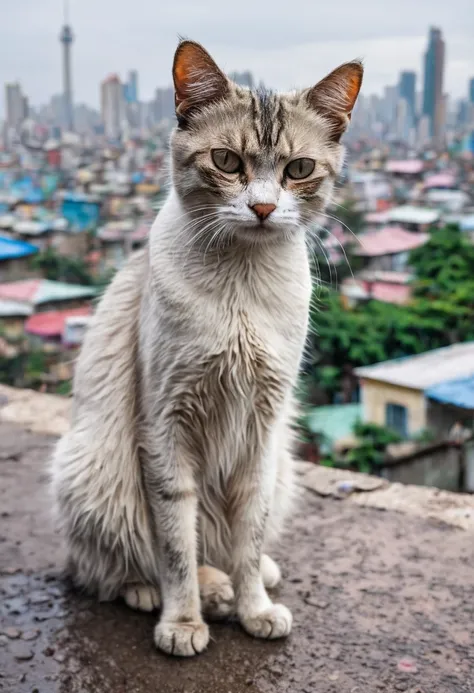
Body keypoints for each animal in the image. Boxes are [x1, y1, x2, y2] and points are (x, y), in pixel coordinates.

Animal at [51, 37, 362, 656]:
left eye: (298, 169)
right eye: (226, 162)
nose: (263, 208)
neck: (241, 281)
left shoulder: (263, 429)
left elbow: (249, 533)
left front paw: (254, 607)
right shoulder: (165, 427)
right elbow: (174, 544)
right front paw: (183, 620)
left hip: (283, 463)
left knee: (230, 545)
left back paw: (246, 579)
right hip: (92, 467)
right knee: (106, 566)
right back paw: (173, 591)